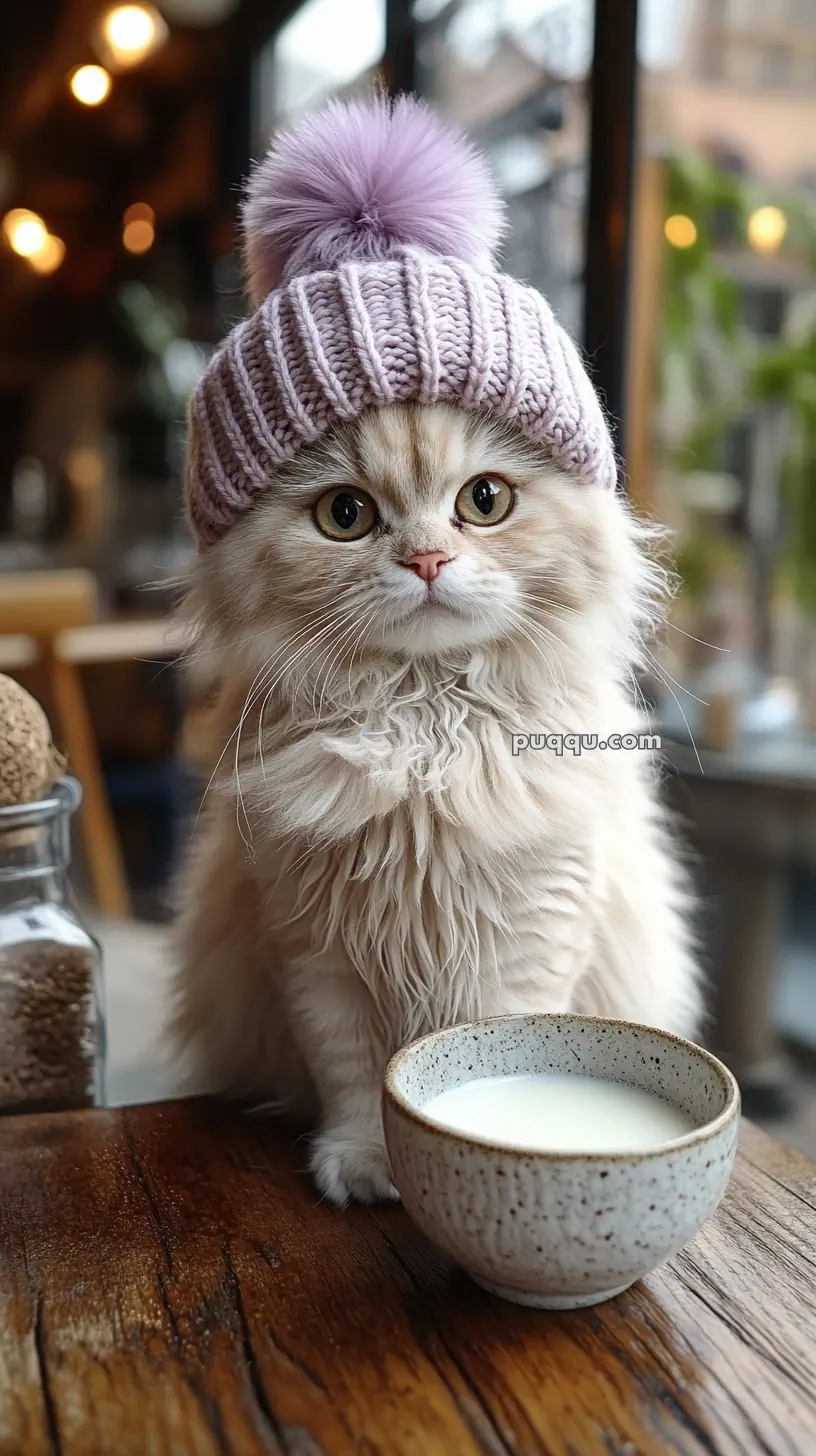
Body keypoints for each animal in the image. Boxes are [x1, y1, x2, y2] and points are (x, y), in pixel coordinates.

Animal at [173, 393, 702, 1199]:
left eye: (484, 501)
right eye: (346, 514)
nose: (426, 561)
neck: (423, 733)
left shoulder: (530, 939)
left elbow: (501, 1055)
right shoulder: (312, 950)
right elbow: (355, 1076)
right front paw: (368, 1159)